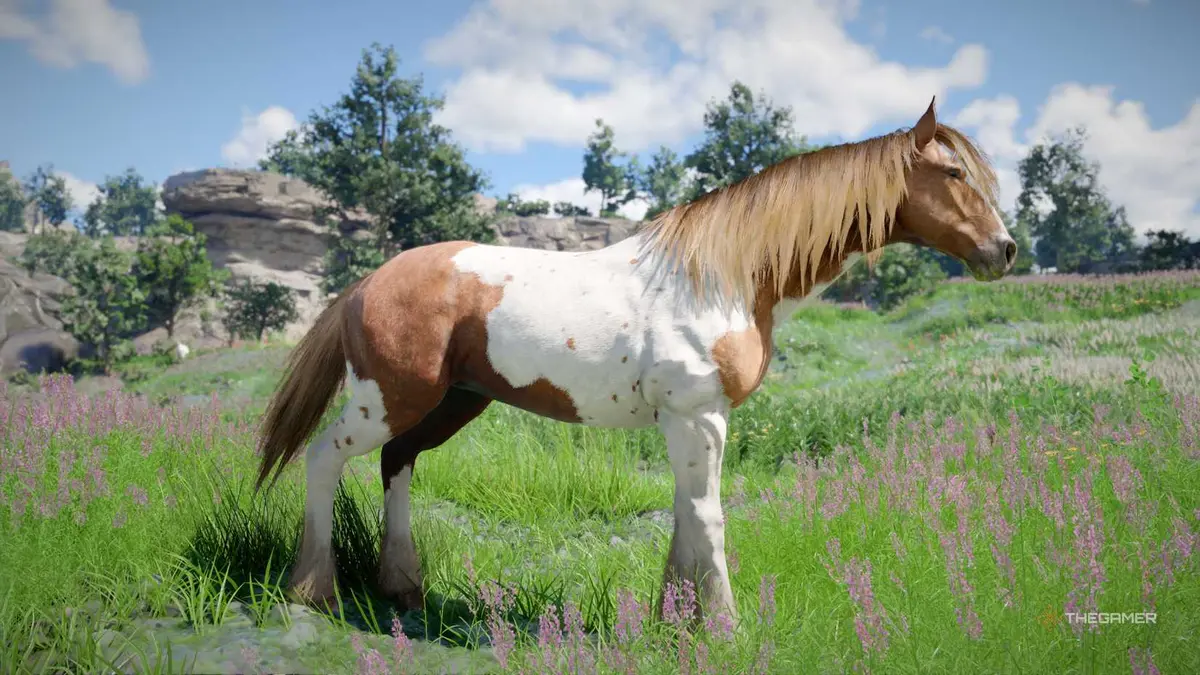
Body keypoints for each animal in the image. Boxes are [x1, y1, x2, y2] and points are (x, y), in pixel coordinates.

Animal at [252, 98, 1016, 624]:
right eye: (953, 172)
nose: (1003, 251)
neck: (725, 276)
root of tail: (367, 283)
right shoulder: (698, 416)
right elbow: (709, 517)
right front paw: (724, 627)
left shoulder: (695, 423)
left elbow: (687, 515)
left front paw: (675, 619)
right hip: (385, 399)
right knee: (323, 458)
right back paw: (312, 590)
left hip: (451, 401)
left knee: (397, 463)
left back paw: (402, 588)